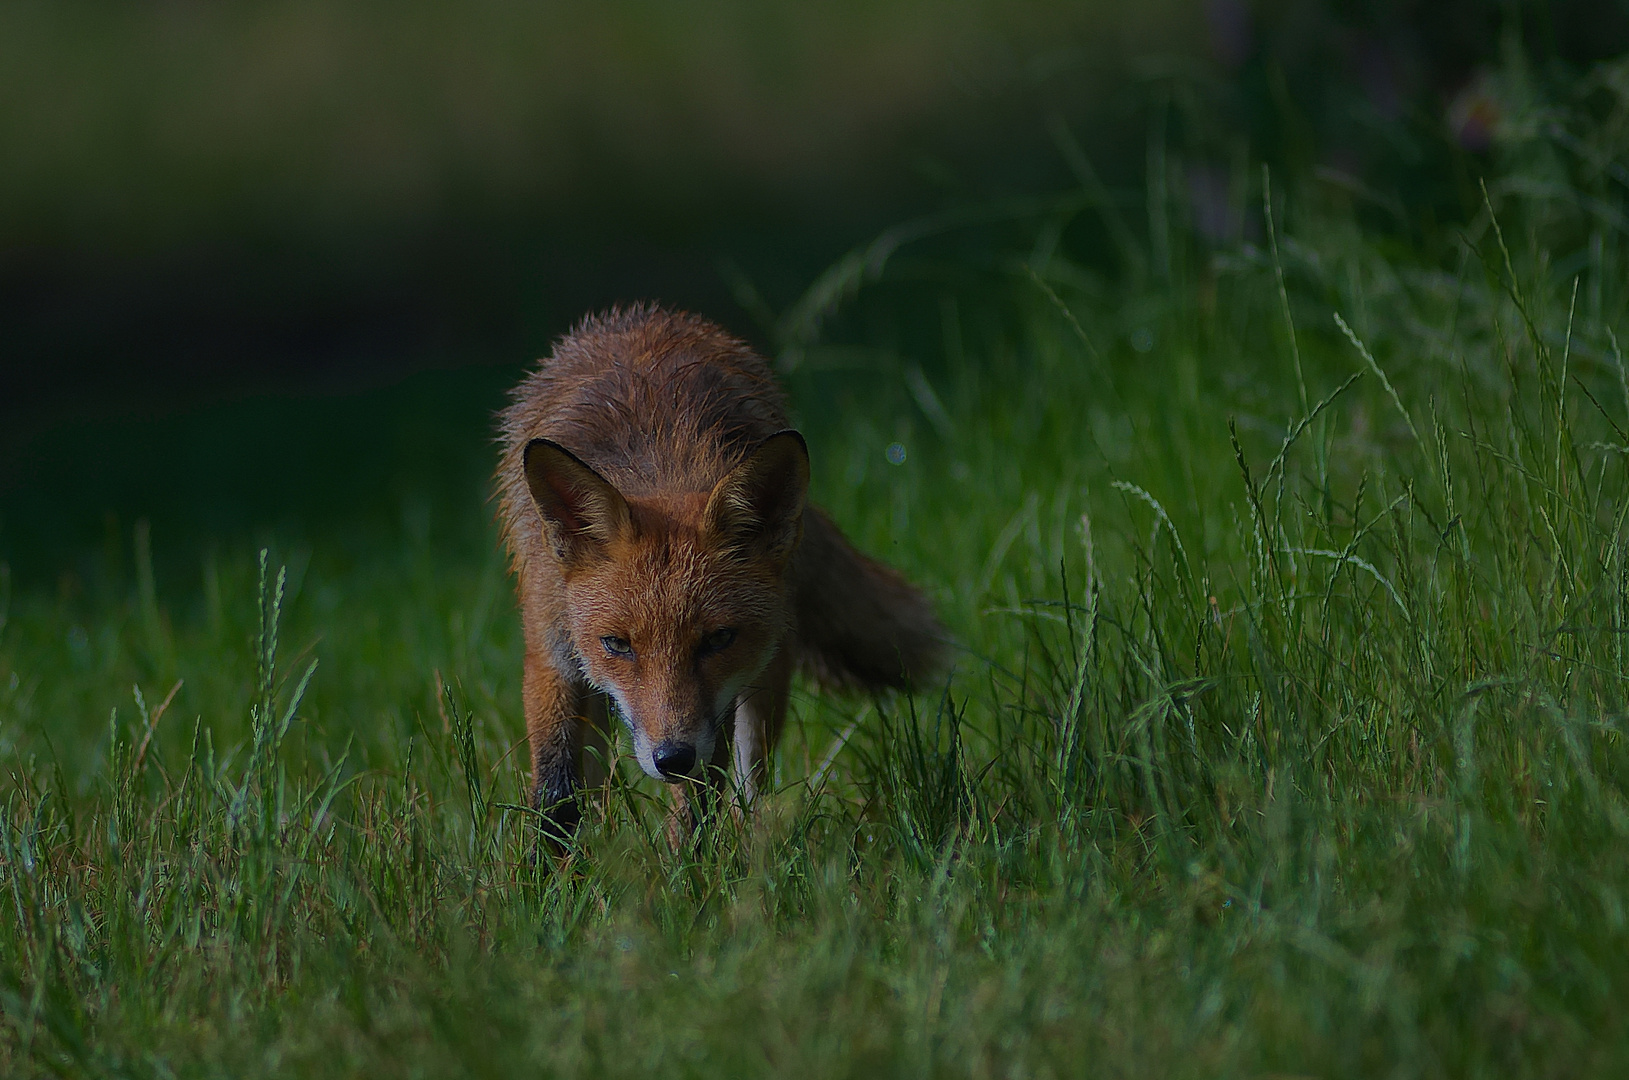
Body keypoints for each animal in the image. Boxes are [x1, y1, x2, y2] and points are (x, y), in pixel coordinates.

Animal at [501, 301, 951, 847]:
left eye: (717, 639)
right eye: (617, 645)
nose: (671, 758)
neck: (662, 462)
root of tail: (649, 314)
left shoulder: (718, 703)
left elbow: (698, 801)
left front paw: (689, 867)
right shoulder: (552, 649)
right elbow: (557, 793)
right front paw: (550, 867)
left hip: (766, 675)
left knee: (748, 785)